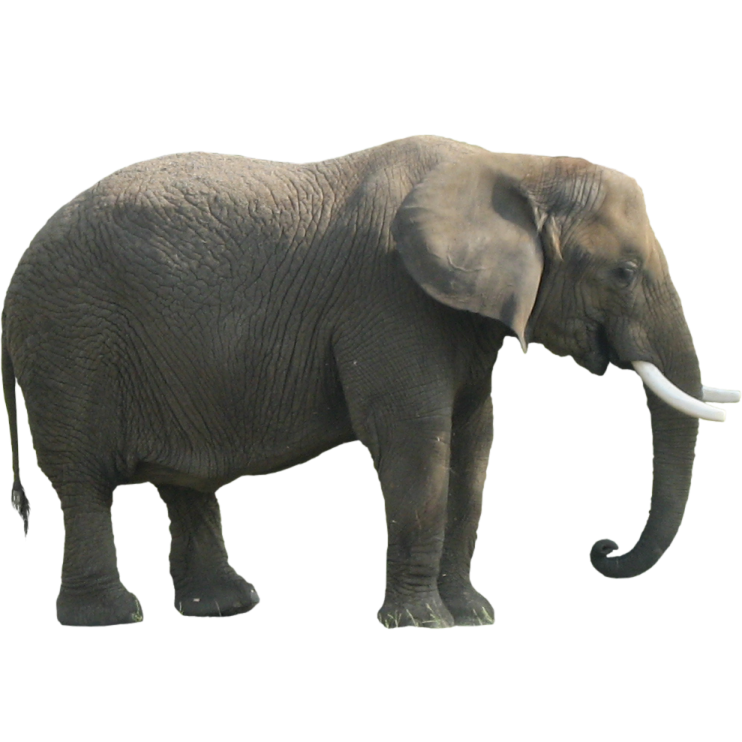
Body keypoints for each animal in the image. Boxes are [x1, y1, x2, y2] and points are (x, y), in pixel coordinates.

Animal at [2, 134, 739, 629]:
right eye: (623, 273)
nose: (601, 548)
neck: (515, 168)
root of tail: (12, 287)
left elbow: (473, 447)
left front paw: (473, 617)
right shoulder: (387, 301)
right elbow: (416, 442)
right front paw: (426, 624)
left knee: (184, 482)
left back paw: (225, 606)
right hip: (70, 345)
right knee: (83, 484)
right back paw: (110, 617)